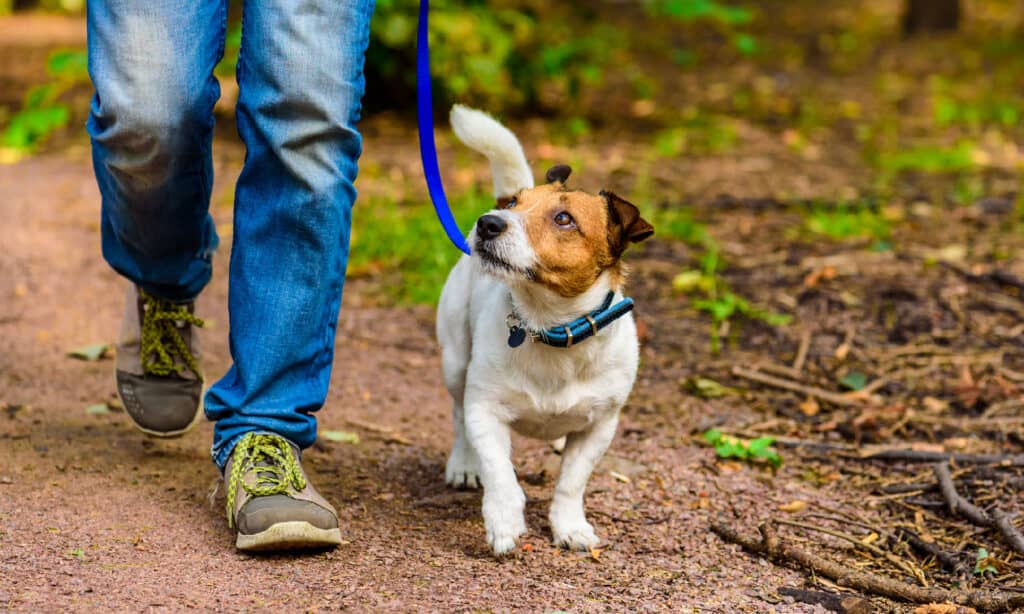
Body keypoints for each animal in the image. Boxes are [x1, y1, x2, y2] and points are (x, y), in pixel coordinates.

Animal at [436, 105, 651, 556]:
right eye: (515, 204)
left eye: (564, 219)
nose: (487, 222)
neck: (549, 326)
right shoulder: (485, 410)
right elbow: (500, 472)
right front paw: (503, 521)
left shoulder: (599, 427)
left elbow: (571, 482)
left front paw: (570, 526)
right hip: (455, 361)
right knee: (458, 417)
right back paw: (464, 464)